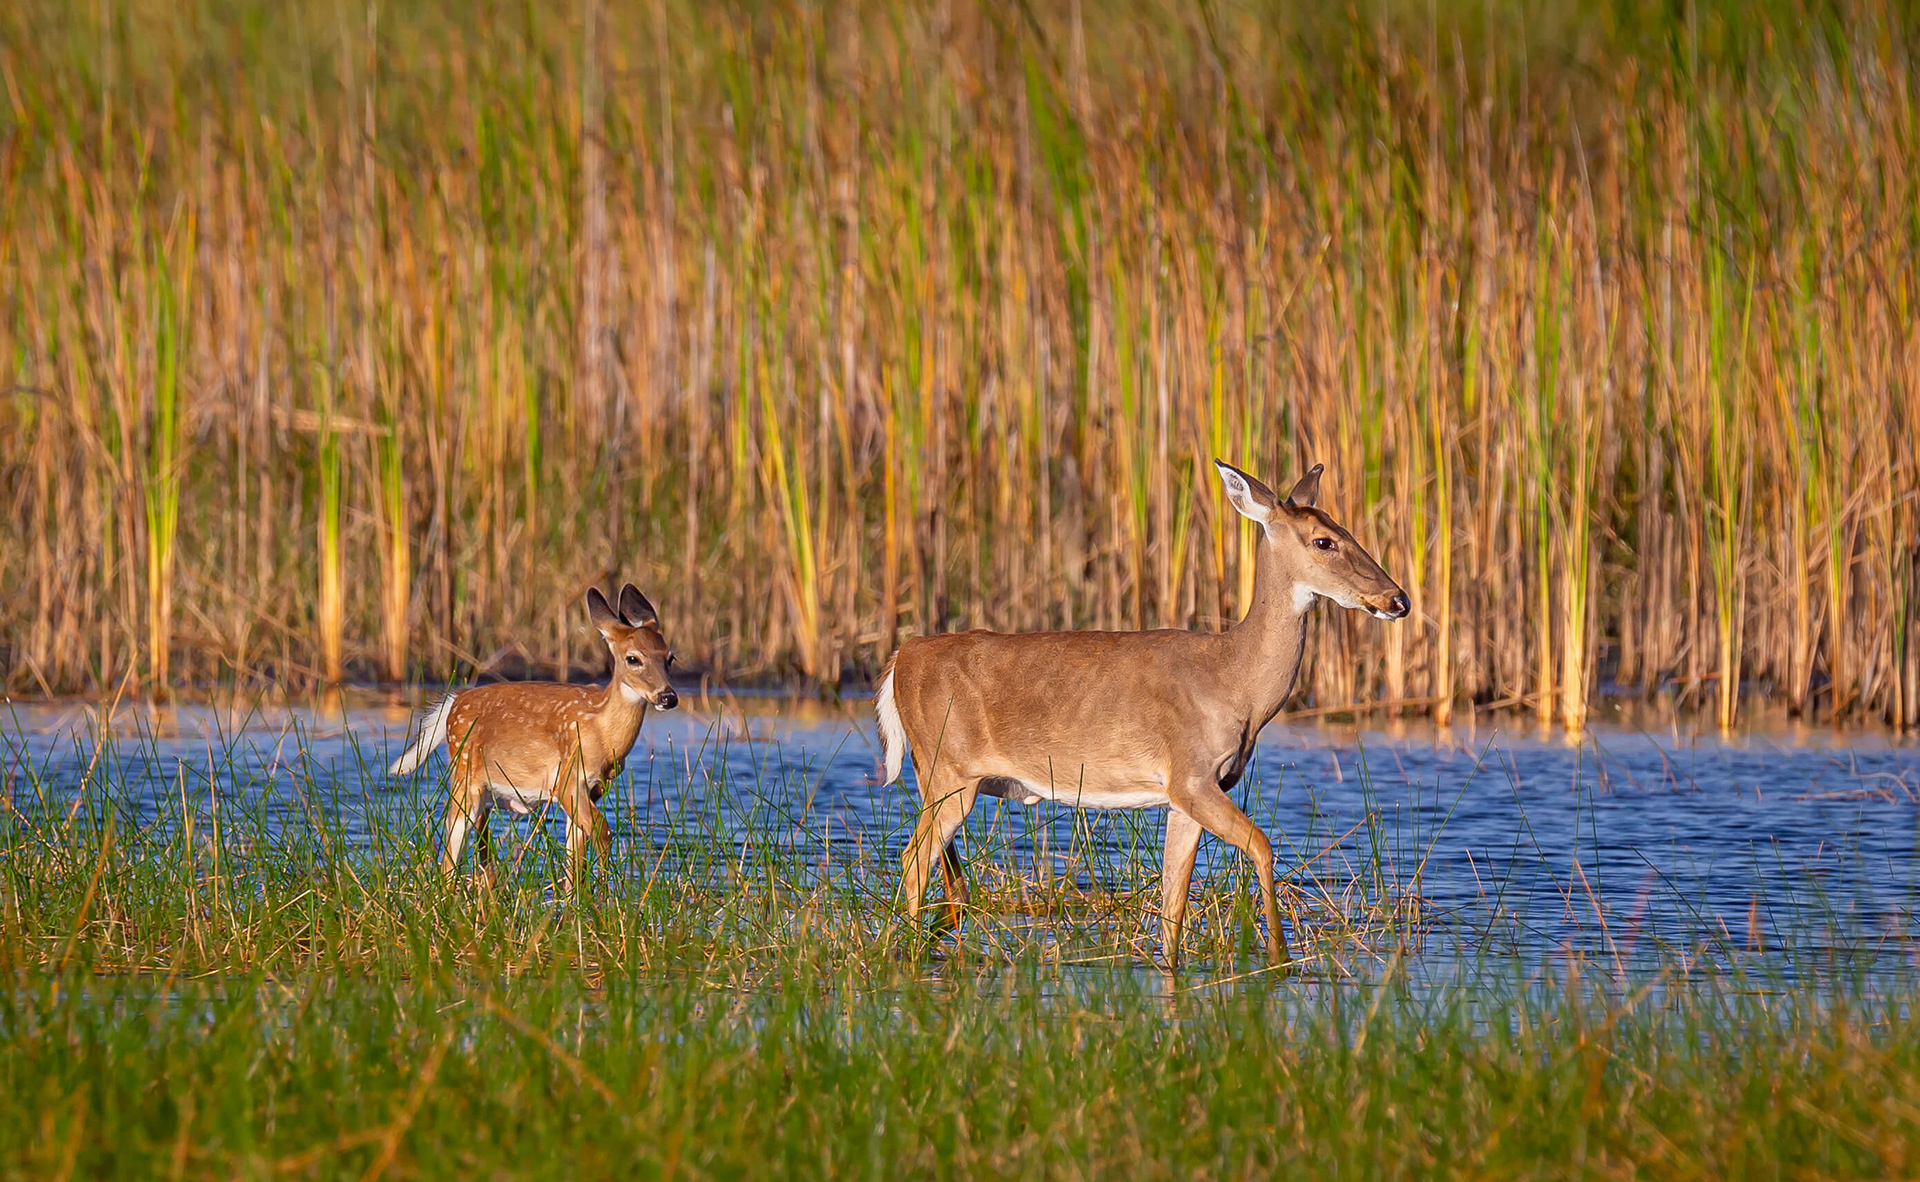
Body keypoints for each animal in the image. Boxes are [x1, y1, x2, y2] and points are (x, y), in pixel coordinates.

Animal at [387, 584, 678, 892]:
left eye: (670, 657)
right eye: (633, 658)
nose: (668, 697)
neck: (601, 733)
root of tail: (454, 702)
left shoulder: (593, 789)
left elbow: (576, 858)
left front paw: (580, 897)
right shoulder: (567, 779)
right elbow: (604, 833)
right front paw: (606, 892)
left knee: (483, 853)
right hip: (465, 779)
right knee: (450, 853)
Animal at [875, 460, 1409, 970]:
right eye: (1324, 541)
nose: (1398, 600)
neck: (1235, 682)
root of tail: (903, 655)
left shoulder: (1185, 796)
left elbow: (1174, 902)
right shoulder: (1191, 775)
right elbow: (1262, 844)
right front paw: (1279, 960)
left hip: (937, 777)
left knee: (950, 879)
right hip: (949, 771)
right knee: (913, 860)